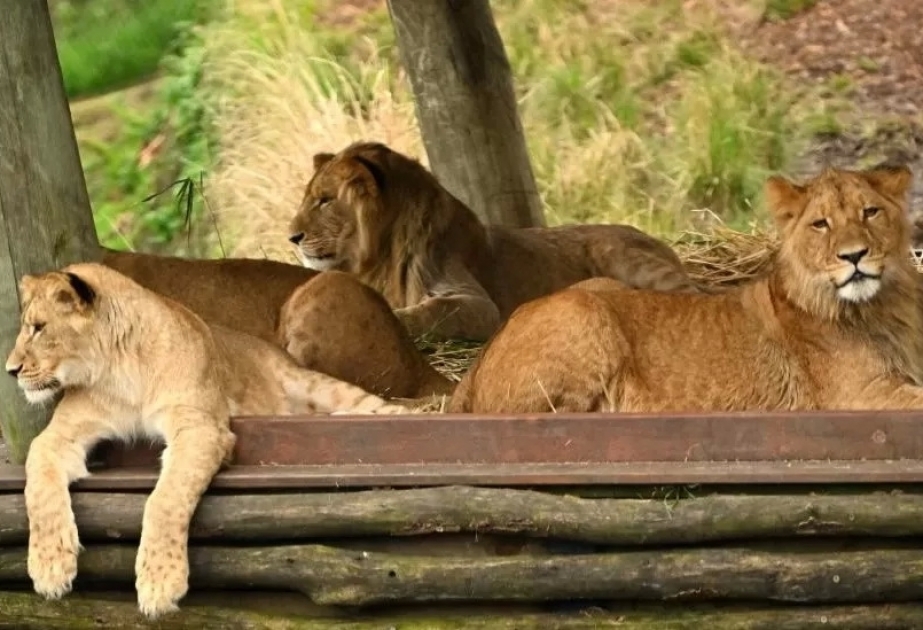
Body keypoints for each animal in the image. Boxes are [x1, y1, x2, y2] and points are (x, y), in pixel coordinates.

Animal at [4, 262, 412, 618]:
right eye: (28, 327)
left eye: (38, 328)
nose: (10, 370)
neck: (117, 371)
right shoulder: (61, 434)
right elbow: (37, 484)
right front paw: (49, 565)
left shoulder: (201, 427)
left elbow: (166, 498)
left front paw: (160, 583)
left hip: (316, 384)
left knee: (381, 407)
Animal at [287, 141, 701, 342]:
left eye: (324, 200)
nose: (291, 237)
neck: (382, 254)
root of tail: (656, 238)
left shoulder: (479, 306)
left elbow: (430, 312)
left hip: (624, 255)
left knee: (695, 295)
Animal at [448, 165, 923, 414]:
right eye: (820, 224)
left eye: (871, 212)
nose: (854, 255)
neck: (883, 307)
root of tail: (476, 364)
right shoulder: (857, 396)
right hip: (583, 314)